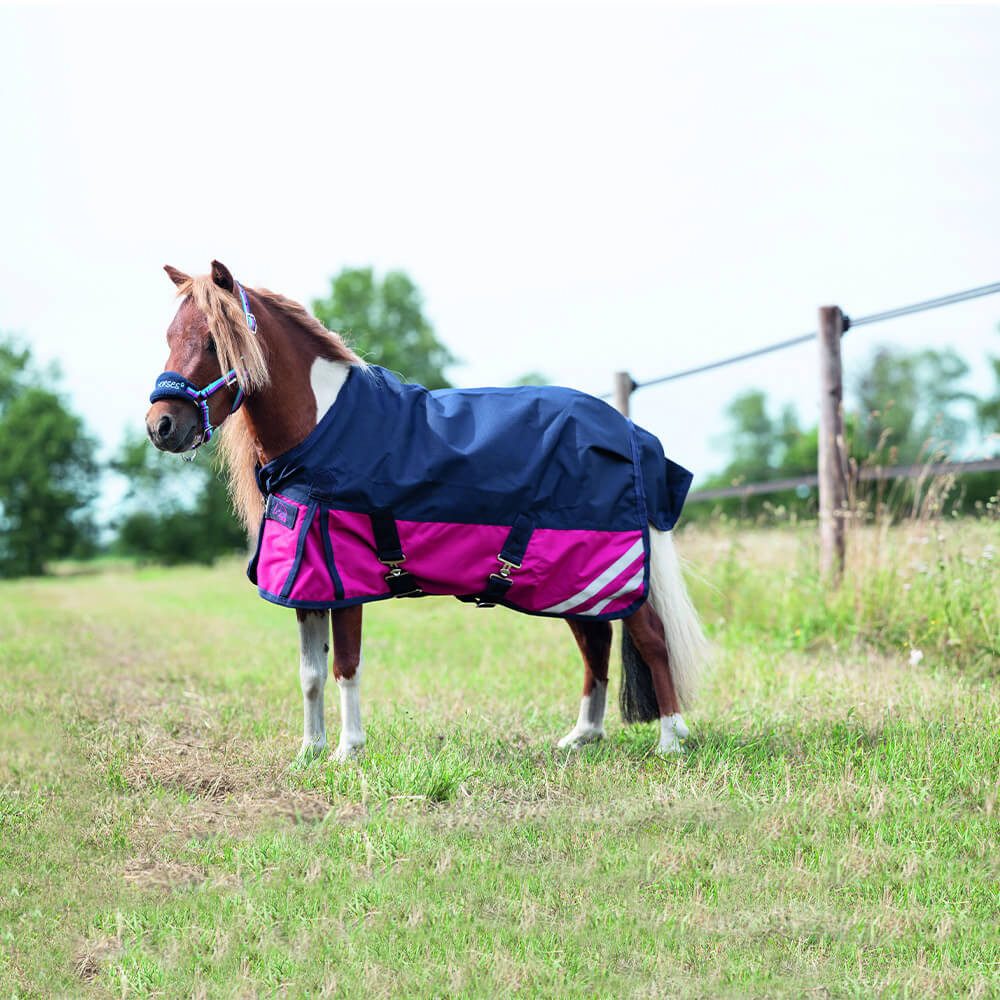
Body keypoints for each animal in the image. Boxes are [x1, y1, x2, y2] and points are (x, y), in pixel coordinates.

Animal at [145, 261, 708, 761]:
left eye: (216, 341)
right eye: (170, 336)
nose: (161, 426)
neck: (322, 430)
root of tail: (630, 434)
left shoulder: (345, 581)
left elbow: (345, 667)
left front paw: (348, 751)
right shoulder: (306, 583)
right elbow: (310, 673)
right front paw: (310, 751)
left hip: (611, 570)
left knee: (651, 639)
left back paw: (670, 740)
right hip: (573, 578)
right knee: (595, 641)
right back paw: (582, 737)